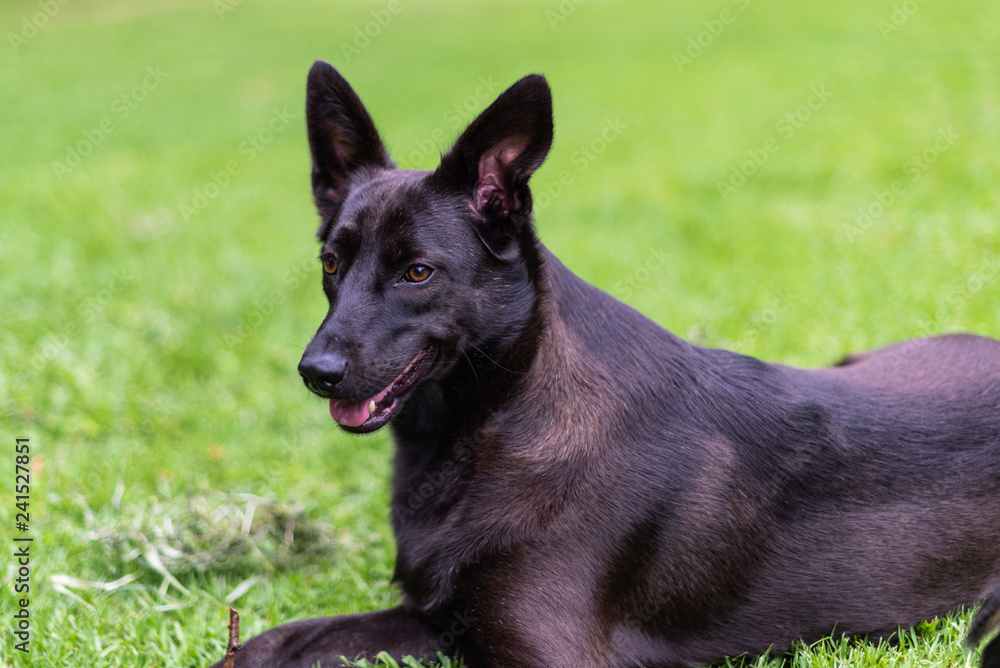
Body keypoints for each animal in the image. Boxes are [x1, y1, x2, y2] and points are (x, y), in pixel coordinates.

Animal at [211, 61, 1000, 664]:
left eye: (417, 272)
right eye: (331, 263)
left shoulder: (542, 650)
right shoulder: (436, 617)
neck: (499, 418)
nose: (316, 371)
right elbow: (266, 643)